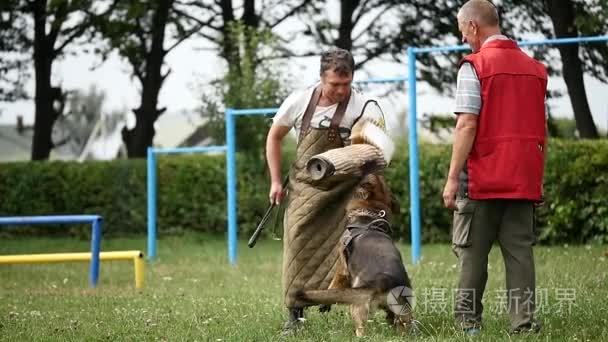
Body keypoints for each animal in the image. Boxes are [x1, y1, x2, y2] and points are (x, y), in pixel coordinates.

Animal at [294, 174, 414, 336]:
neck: (369, 213)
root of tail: (385, 282)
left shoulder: (341, 267)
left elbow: (333, 285)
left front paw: (325, 305)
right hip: (403, 313)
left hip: (358, 305)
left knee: (362, 330)